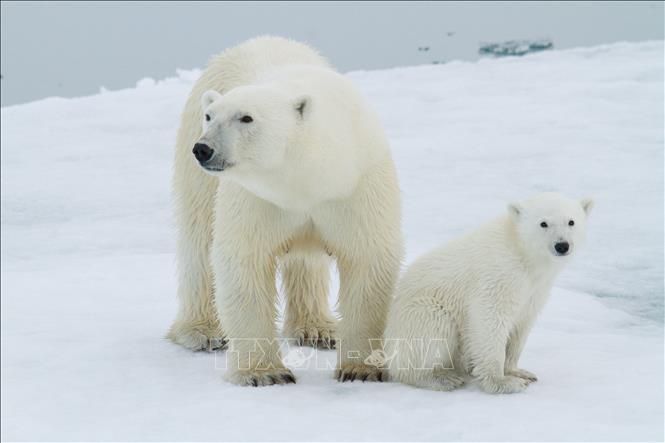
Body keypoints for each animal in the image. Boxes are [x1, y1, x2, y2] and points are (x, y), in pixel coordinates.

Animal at [169, 36, 402, 386]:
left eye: (246, 118)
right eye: (210, 116)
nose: (204, 149)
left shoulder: (356, 185)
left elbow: (368, 259)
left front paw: (360, 369)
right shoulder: (256, 197)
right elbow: (244, 261)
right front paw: (263, 373)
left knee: (307, 264)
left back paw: (318, 329)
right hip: (196, 167)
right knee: (199, 238)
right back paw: (202, 332)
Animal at [382, 193, 592, 394]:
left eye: (571, 221)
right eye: (543, 223)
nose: (562, 245)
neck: (523, 254)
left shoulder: (536, 289)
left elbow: (522, 325)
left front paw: (520, 372)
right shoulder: (498, 276)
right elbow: (490, 321)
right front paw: (503, 382)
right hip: (420, 312)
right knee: (433, 331)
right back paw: (441, 379)